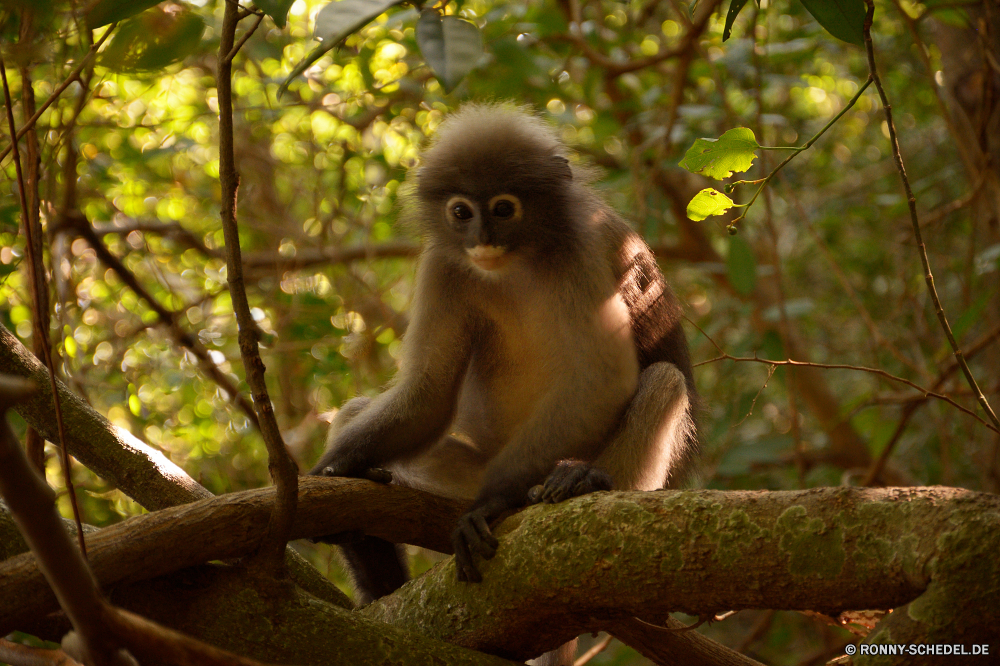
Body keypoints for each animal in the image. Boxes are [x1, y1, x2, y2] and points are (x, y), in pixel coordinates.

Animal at [310, 102, 696, 624]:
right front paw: (336, 470)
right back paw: (377, 574)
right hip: (465, 471)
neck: (516, 263)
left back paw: (584, 479)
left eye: (503, 208)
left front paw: (491, 505)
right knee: (357, 411)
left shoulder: (581, 249)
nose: (482, 238)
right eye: (461, 211)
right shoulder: (442, 265)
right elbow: (429, 392)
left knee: (664, 380)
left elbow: (602, 377)